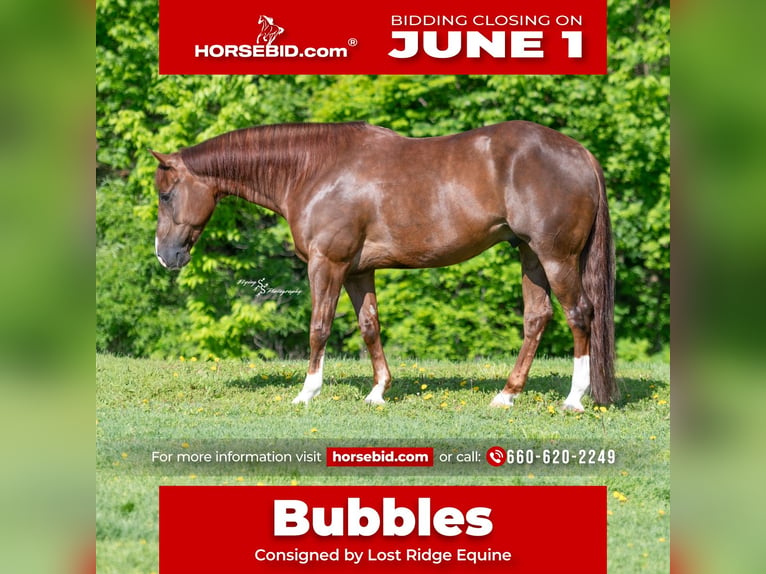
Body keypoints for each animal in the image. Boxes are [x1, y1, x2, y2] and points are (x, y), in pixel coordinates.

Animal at [151, 121, 616, 410]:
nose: (164, 255)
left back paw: (574, 398)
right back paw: (507, 394)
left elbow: (319, 326)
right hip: (529, 255)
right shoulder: (358, 270)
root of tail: (581, 153)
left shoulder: (327, 264)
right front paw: (378, 391)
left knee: (580, 314)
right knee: (537, 318)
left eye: (166, 195)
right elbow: (369, 325)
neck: (314, 170)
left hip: (555, 256)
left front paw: (307, 392)